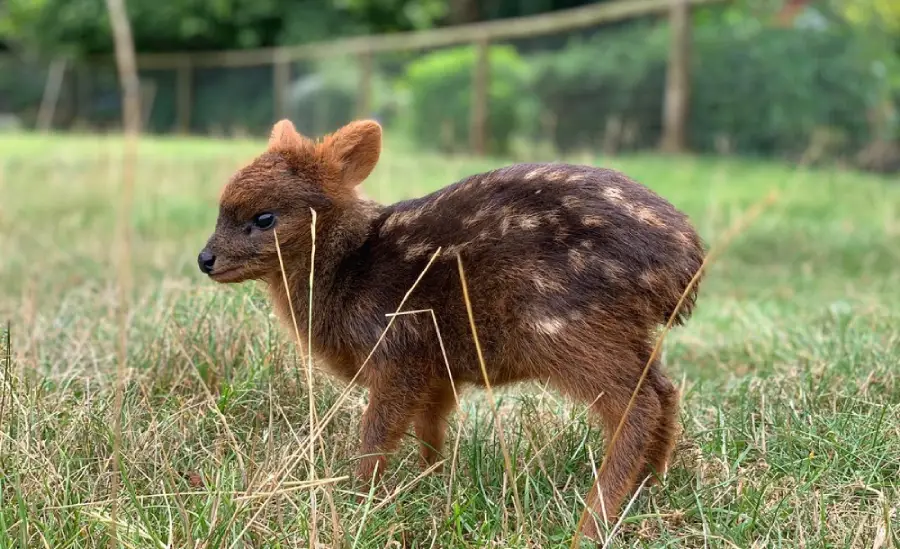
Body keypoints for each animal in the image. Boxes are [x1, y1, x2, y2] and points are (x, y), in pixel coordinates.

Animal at [197, 118, 706, 540]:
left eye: (264, 217)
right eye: (221, 209)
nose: (205, 259)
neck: (349, 271)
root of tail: (686, 260)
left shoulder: (399, 350)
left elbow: (377, 430)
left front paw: (358, 495)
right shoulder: (436, 367)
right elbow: (430, 427)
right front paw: (432, 482)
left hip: (567, 326)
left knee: (636, 403)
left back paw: (593, 522)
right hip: (621, 329)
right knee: (664, 389)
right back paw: (650, 486)